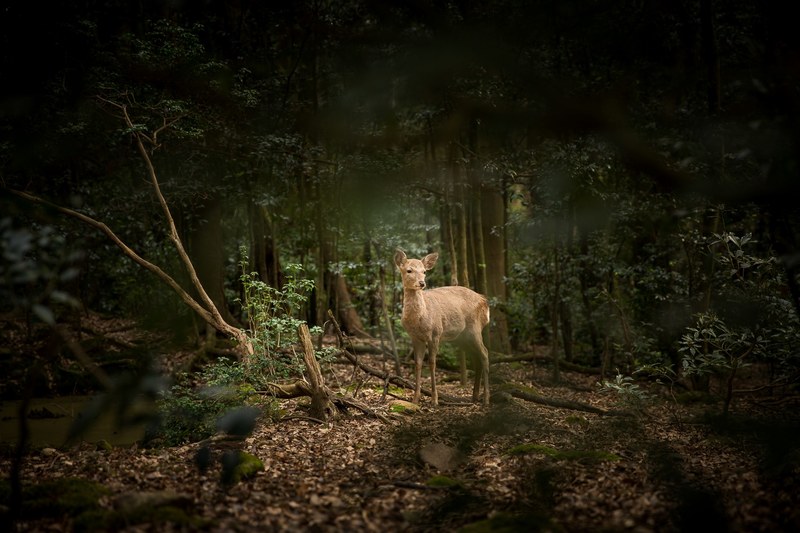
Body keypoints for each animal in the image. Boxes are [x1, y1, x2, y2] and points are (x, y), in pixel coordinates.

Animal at [394, 249, 491, 406]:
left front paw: (434, 399)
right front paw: (415, 399)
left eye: (424, 271)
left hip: (475, 328)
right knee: (476, 358)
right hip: (463, 337)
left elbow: (432, 363)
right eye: (409, 270)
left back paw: (486, 398)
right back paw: (474, 397)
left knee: (485, 353)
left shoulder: (435, 334)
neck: (421, 318)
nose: (422, 283)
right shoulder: (415, 338)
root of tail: (485, 302)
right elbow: (418, 363)